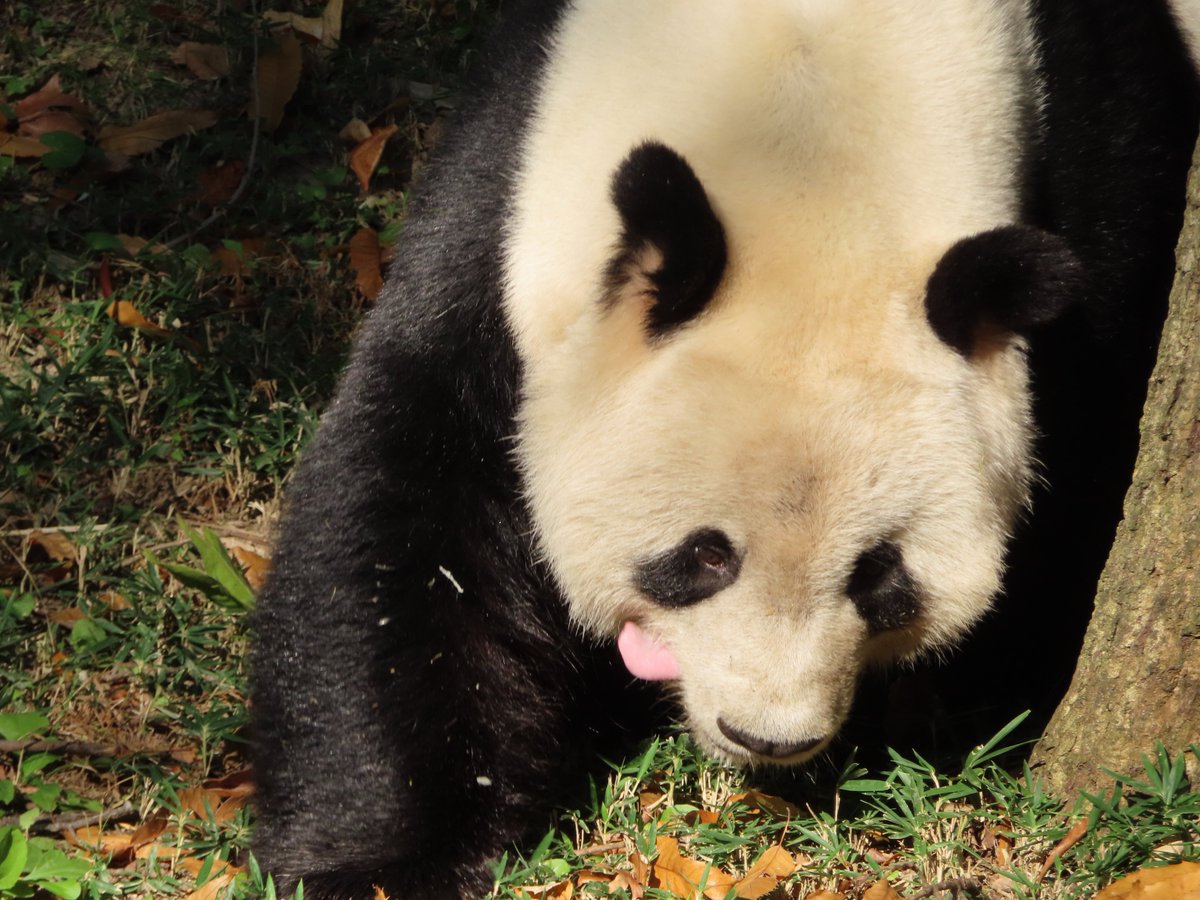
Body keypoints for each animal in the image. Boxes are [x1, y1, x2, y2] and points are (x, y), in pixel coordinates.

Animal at [246, 3, 1200, 897]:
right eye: (703, 556)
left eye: (879, 574)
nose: (767, 735)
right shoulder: (505, 197)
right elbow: (411, 506)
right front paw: (381, 862)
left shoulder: (1090, 153)